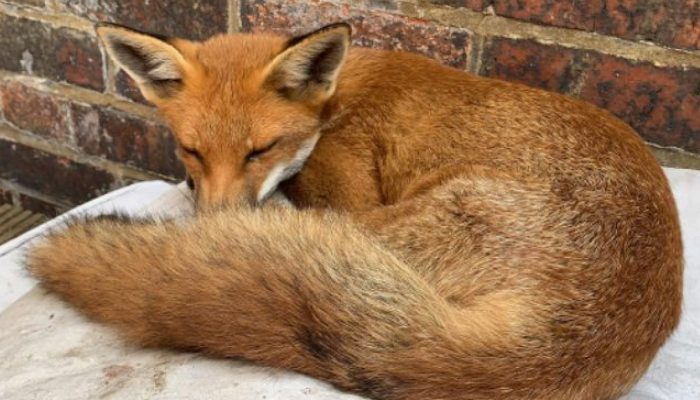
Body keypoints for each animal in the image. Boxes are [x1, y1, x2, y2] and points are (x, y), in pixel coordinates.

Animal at [26, 21, 682, 400]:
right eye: (191, 149)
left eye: (260, 149)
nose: (215, 224)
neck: (337, 102)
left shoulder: (345, 190)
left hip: (389, 222)